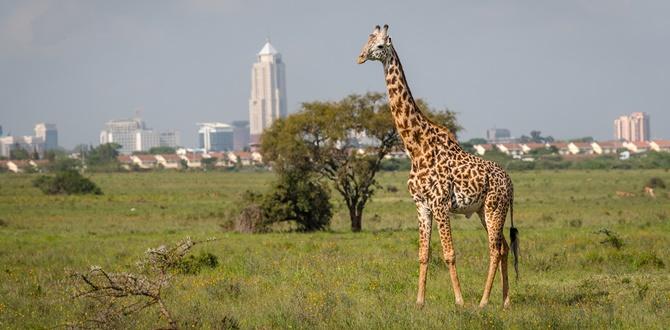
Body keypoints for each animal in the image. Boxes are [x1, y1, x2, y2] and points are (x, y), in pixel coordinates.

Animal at [356, 24, 520, 308]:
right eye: (367, 42)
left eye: (379, 45)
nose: (360, 57)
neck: (416, 147)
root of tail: (510, 183)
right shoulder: (421, 204)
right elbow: (424, 254)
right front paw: (419, 302)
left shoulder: (440, 203)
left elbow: (449, 253)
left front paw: (459, 301)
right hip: (483, 210)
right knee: (504, 247)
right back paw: (505, 301)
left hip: (494, 207)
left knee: (494, 249)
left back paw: (483, 302)